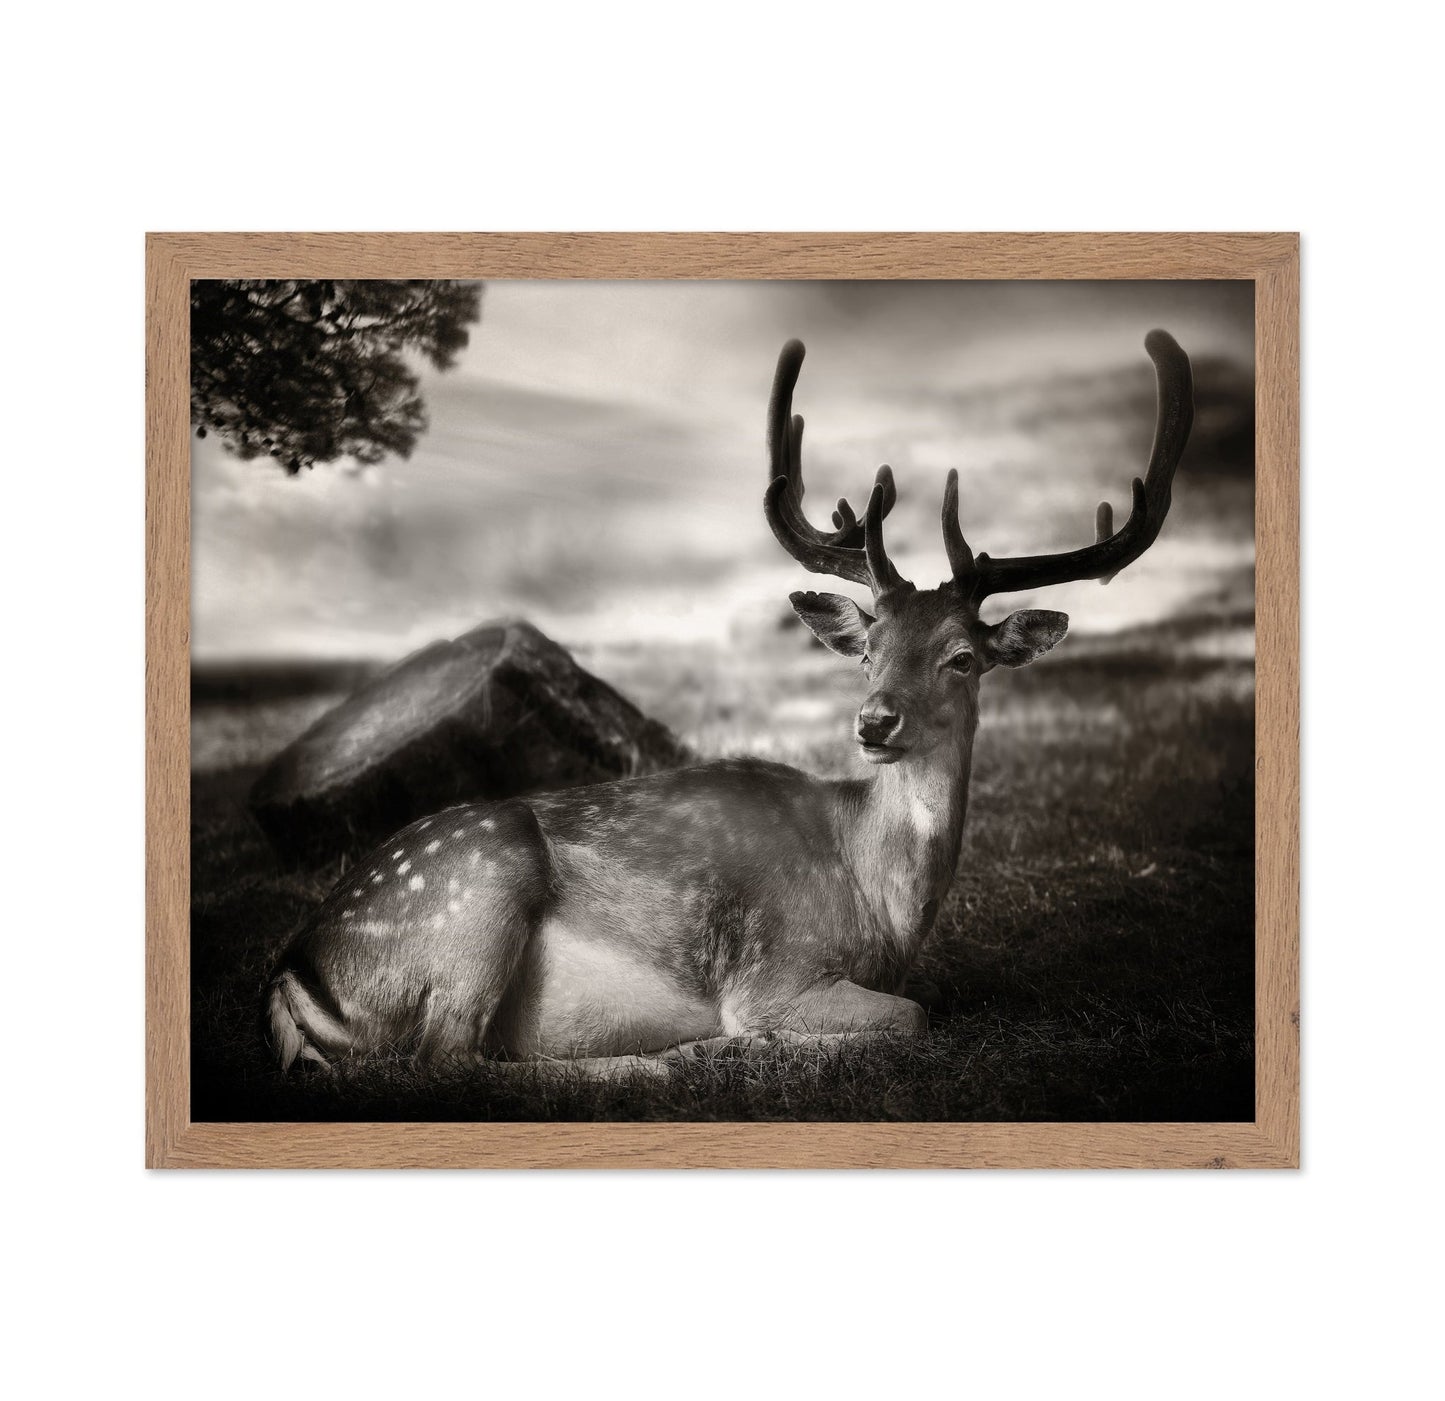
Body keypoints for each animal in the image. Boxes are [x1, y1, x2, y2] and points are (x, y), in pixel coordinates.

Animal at [267, 330, 1194, 1078]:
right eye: (868, 652)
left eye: (962, 658)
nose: (874, 722)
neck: (881, 905)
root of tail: (295, 969)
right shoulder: (776, 969)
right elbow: (914, 1014)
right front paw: (764, 1040)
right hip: (475, 890)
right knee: (451, 1060)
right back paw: (673, 1056)